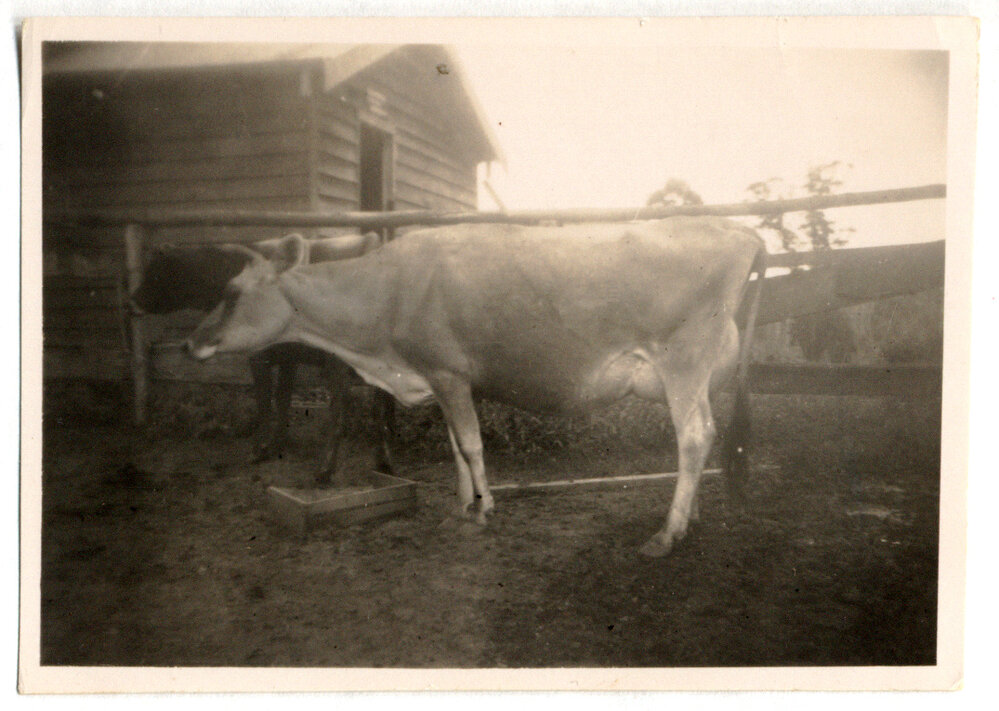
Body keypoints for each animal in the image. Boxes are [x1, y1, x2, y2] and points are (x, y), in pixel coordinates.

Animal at [131, 232, 396, 486]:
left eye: (154, 270)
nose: (131, 301)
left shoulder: (259, 357)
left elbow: (264, 400)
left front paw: (259, 449)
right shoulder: (288, 357)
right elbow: (282, 398)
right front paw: (276, 444)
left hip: (338, 362)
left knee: (340, 412)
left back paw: (325, 470)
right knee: (382, 408)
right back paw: (384, 460)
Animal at [185, 218, 767, 556]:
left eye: (231, 291)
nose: (192, 341)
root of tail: (739, 234)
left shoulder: (446, 371)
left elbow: (470, 445)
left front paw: (484, 510)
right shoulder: (445, 379)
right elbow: (454, 448)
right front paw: (462, 507)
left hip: (683, 361)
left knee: (693, 436)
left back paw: (667, 533)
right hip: (703, 372)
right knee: (703, 437)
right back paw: (691, 516)